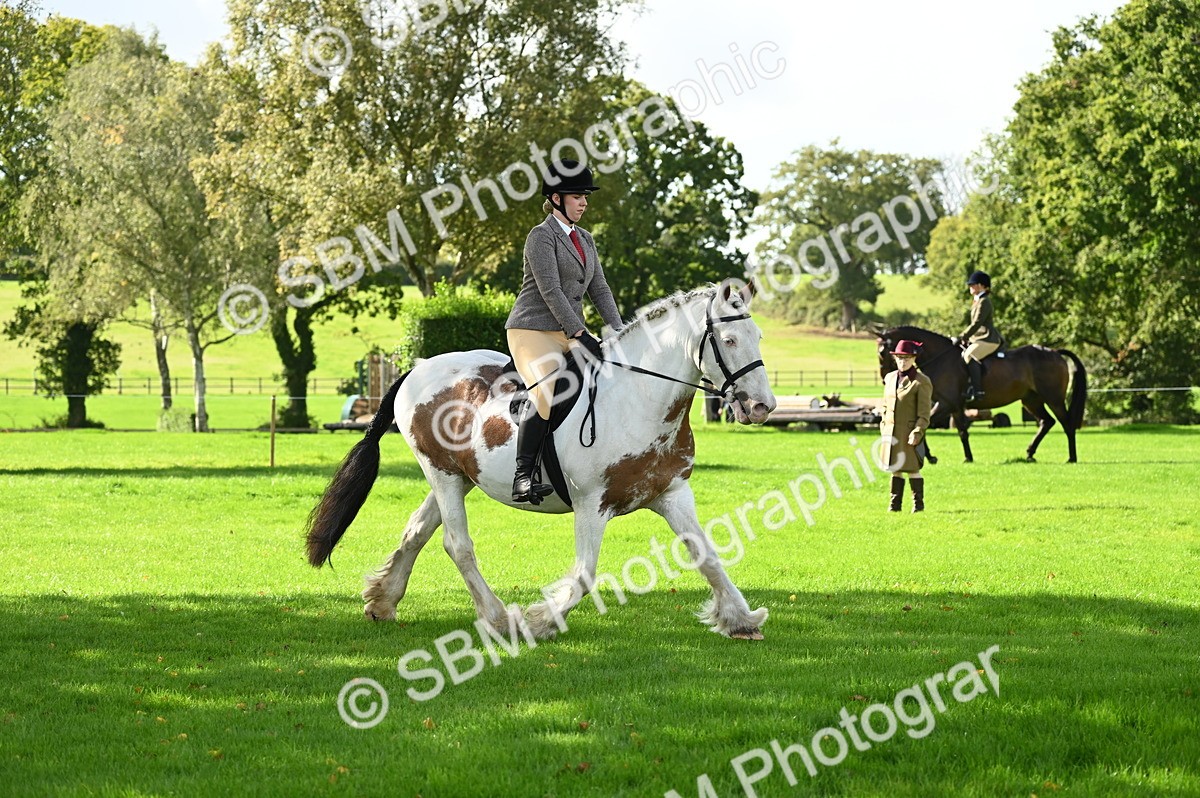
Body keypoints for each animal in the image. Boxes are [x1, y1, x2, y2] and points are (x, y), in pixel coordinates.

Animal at [305, 283, 777, 641]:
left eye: (758, 337)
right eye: (729, 341)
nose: (762, 407)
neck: (637, 398)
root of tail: (417, 369)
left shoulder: (672, 494)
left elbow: (707, 555)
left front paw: (740, 620)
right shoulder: (592, 504)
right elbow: (584, 576)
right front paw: (539, 621)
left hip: (458, 476)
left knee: (417, 530)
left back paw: (383, 601)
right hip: (441, 472)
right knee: (457, 544)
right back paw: (500, 619)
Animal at [876, 326, 1087, 463]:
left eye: (883, 352)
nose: (885, 379)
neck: (940, 358)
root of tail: (1055, 352)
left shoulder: (946, 404)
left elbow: (928, 427)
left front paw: (933, 457)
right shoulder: (952, 406)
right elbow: (960, 431)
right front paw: (964, 458)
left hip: (1054, 399)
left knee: (1066, 424)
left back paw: (1072, 457)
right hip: (1031, 400)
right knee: (1047, 422)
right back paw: (1029, 453)